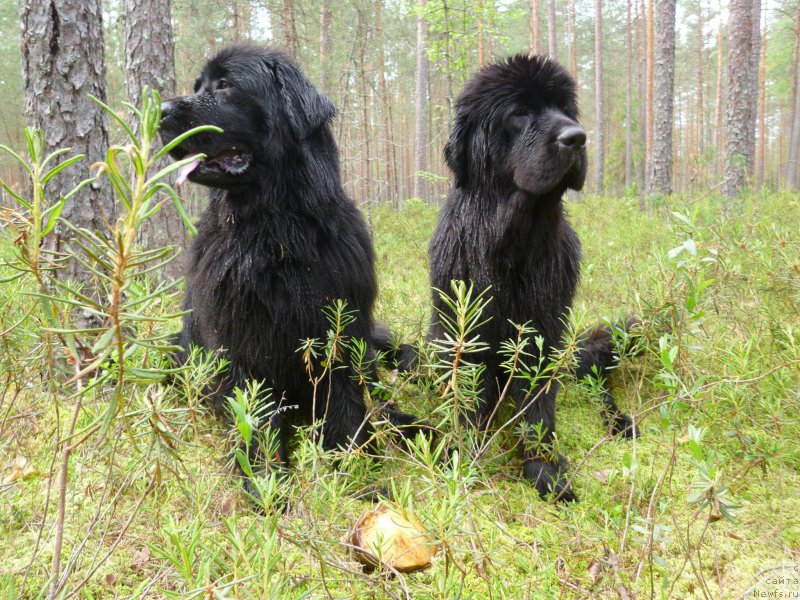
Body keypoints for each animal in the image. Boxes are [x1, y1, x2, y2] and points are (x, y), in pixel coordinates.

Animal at [158, 45, 418, 492]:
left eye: (225, 85)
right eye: (198, 86)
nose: (160, 110)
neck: (274, 232)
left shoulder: (339, 327)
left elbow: (346, 404)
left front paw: (355, 469)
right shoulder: (243, 343)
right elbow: (256, 415)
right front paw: (265, 480)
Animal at [428, 55, 636, 502]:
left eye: (566, 110)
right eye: (519, 113)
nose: (577, 138)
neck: (514, 246)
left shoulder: (544, 331)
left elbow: (539, 407)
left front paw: (546, 471)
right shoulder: (464, 331)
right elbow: (468, 402)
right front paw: (464, 461)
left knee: (597, 384)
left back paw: (620, 422)